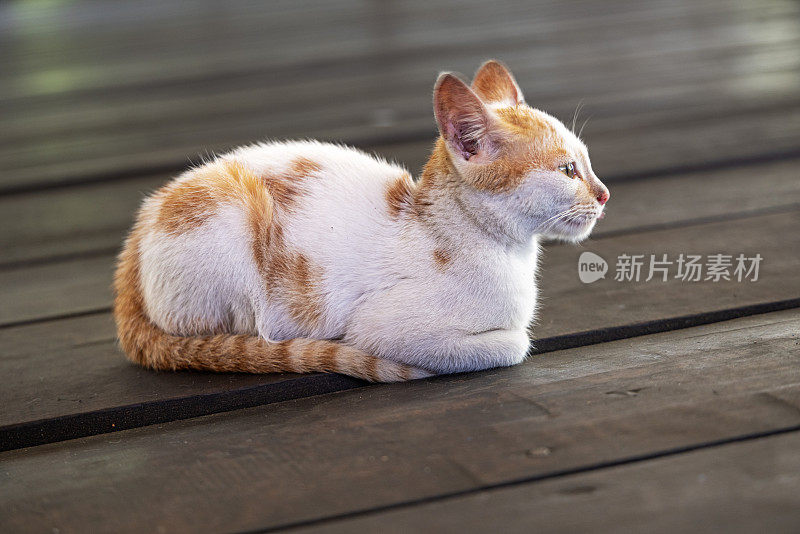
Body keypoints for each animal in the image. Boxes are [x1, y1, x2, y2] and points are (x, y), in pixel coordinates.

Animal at [115, 60, 608, 384]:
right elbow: (514, 343)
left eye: (587, 162)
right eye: (568, 170)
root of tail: (138, 232)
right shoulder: (380, 327)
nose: (604, 194)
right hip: (232, 216)